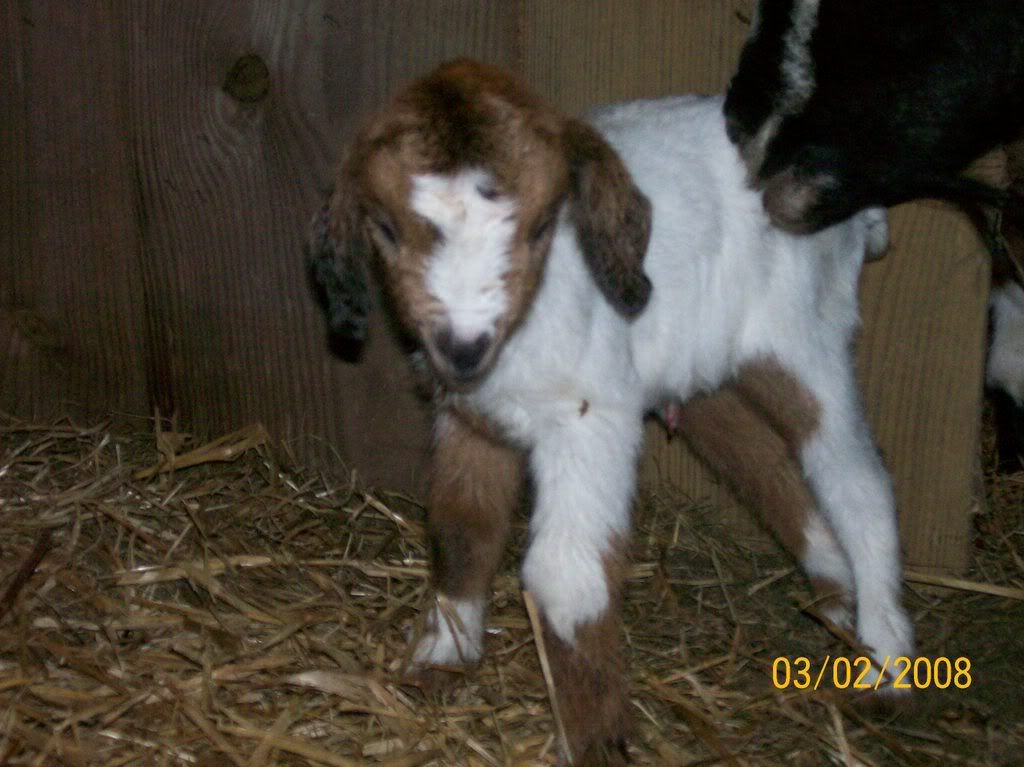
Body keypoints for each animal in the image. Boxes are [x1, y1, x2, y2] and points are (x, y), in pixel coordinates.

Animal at [309, 59, 912, 765]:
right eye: (385, 228)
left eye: (542, 226)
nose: (463, 346)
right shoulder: (472, 417)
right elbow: (461, 526)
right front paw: (441, 656)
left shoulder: (589, 418)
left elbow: (564, 575)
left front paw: (597, 739)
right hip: (698, 354)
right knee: (762, 460)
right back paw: (837, 594)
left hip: (805, 335)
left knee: (856, 478)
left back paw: (887, 664)